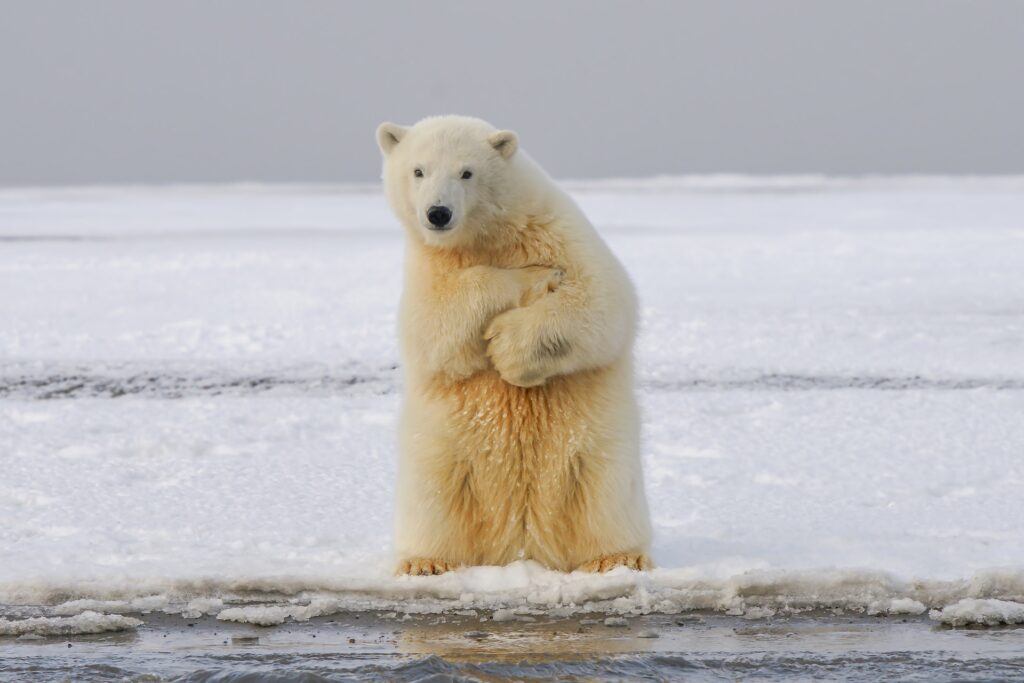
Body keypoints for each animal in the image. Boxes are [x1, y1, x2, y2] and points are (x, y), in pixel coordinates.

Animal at [376, 115, 652, 575]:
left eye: (467, 172)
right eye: (418, 170)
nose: (438, 213)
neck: (489, 235)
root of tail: (522, 545)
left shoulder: (559, 232)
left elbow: (602, 301)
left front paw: (508, 347)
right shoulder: (428, 267)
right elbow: (433, 326)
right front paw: (529, 278)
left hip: (597, 453)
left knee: (603, 494)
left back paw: (617, 557)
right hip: (443, 455)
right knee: (435, 498)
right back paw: (425, 562)